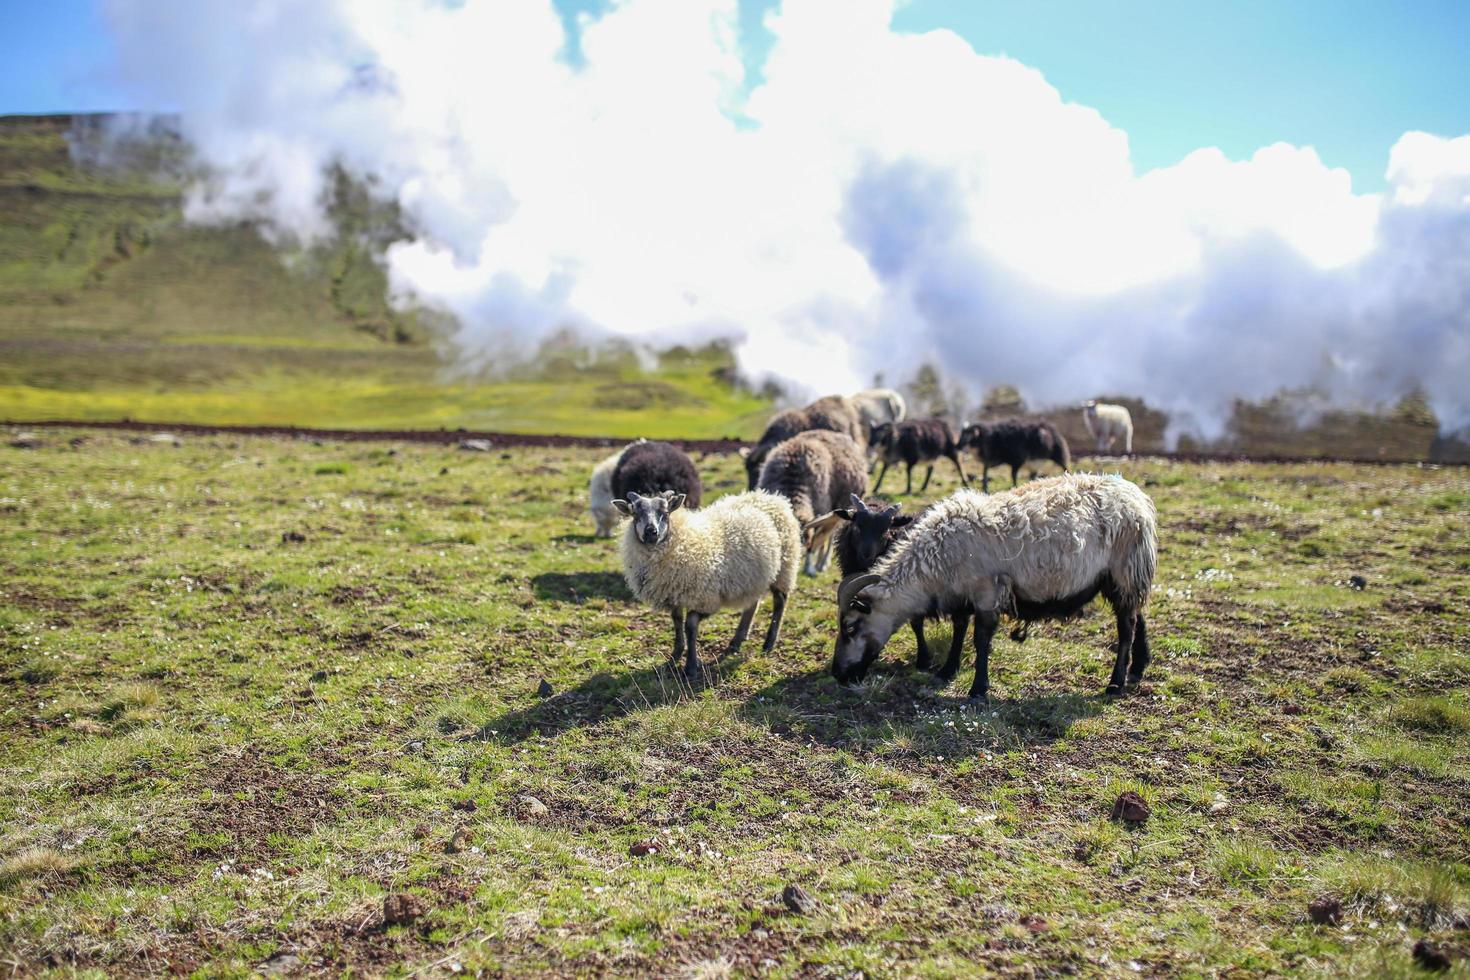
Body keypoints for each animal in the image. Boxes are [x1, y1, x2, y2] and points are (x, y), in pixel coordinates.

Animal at [620, 487, 805, 681]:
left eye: (665, 513)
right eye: (635, 514)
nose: (651, 532)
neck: (682, 542)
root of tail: (772, 497)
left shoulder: (705, 598)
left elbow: (690, 626)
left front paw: (691, 666)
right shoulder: (675, 594)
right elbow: (677, 622)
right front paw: (675, 654)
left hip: (785, 567)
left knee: (780, 602)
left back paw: (769, 642)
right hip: (753, 577)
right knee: (752, 603)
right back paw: (737, 640)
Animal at [764, 429, 864, 575]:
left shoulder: (820, 510)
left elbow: (813, 542)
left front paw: (809, 568)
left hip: (839, 506)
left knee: (831, 536)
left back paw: (822, 564)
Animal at [799, 499, 970, 675]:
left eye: (886, 530)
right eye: (857, 526)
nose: (866, 555)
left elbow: (934, 624)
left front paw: (928, 662)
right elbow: (915, 623)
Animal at [829, 473, 1158, 696]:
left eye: (850, 627)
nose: (837, 674)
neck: (934, 563)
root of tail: (1134, 494)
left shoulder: (987, 591)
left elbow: (981, 638)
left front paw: (978, 689)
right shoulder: (961, 593)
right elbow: (959, 629)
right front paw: (947, 670)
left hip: (1124, 569)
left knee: (1126, 627)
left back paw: (1115, 683)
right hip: (1123, 576)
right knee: (1137, 616)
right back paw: (1138, 667)